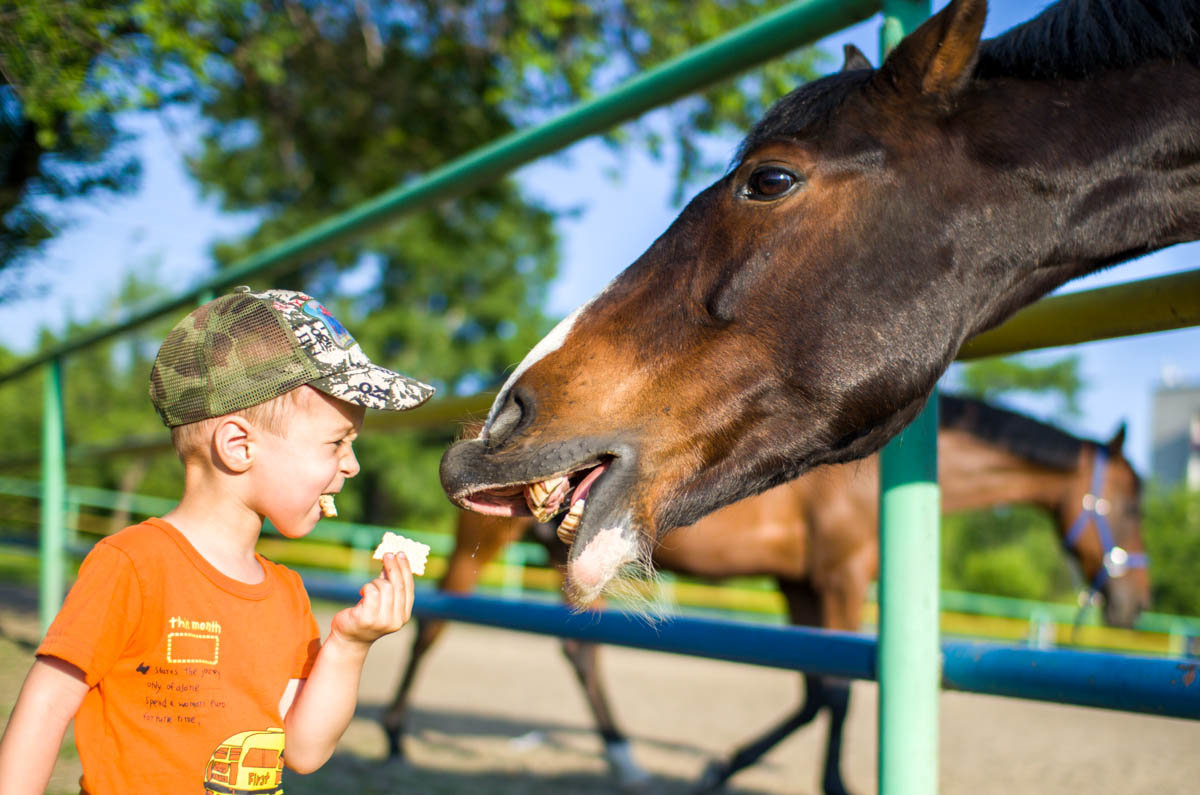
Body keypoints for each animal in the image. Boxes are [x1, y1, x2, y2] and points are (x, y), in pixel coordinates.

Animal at [386, 396, 1152, 792]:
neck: (863, 473)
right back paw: (395, 738)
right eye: (1132, 504)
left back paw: (624, 758)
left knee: (579, 651)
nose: (1134, 604)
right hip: (486, 542)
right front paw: (816, 782)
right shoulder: (840, 579)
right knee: (435, 623)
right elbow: (836, 690)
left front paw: (721, 767)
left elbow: (816, 689)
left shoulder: (801, 583)